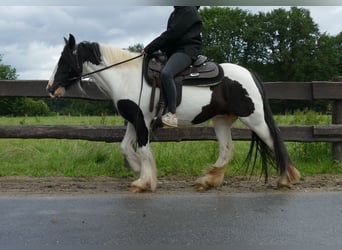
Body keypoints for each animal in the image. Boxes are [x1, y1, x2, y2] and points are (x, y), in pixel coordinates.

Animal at [46, 34, 300, 192]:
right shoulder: (134, 120)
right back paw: (208, 181)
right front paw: (137, 170)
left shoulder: (142, 121)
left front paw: (145, 182)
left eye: (64, 60)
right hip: (221, 120)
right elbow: (125, 147)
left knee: (274, 142)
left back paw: (286, 179)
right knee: (227, 149)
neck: (126, 77)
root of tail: (250, 73)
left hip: (254, 119)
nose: (50, 88)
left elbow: (144, 149)